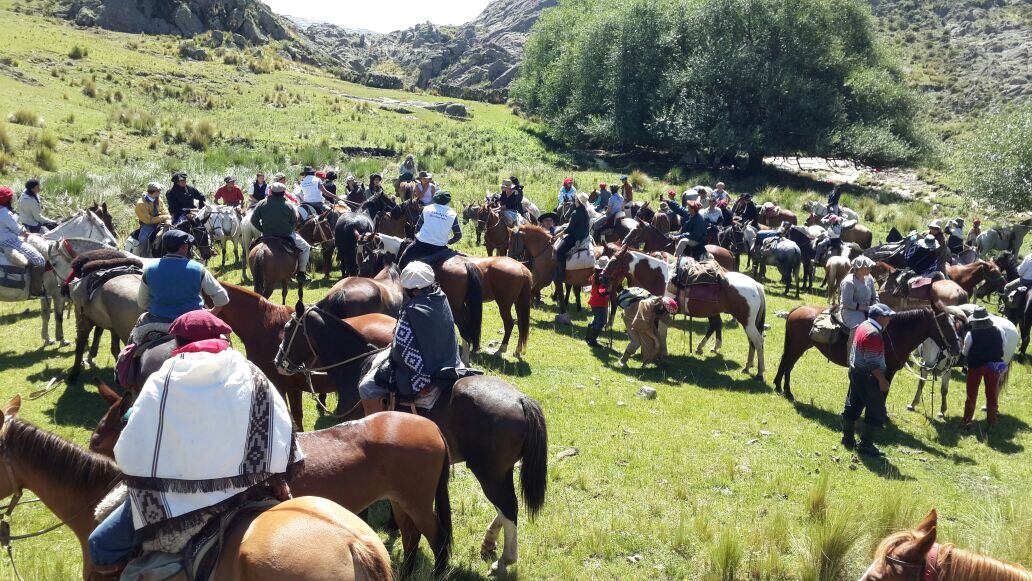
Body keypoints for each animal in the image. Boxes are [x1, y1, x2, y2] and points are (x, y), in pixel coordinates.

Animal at [90, 385, 454, 577]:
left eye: (99, 436)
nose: (92, 445)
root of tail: (432, 427)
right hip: (402, 500)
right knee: (411, 535)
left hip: (417, 501)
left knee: (436, 538)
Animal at [602, 245, 767, 377]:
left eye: (614, 261)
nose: (602, 277)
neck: (662, 277)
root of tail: (756, 285)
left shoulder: (664, 312)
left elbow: (662, 334)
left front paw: (663, 356)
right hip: (746, 322)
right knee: (748, 340)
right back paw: (746, 367)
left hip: (747, 322)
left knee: (758, 341)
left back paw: (760, 373)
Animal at [771, 305, 961, 400]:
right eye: (945, 324)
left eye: (955, 323)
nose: (957, 348)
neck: (894, 333)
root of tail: (797, 309)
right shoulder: (886, 371)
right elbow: (883, 391)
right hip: (798, 346)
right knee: (788, 364)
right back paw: (787, 390)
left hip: (795, 346)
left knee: (785, 362)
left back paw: (779, 386)